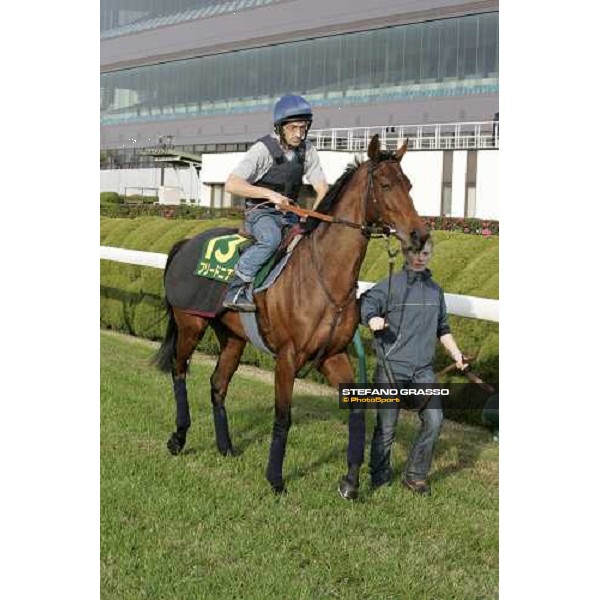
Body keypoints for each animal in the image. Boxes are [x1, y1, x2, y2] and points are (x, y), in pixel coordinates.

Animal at [154, 134, 426, 500]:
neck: (324, 276)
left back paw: (226, 446)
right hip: (190, 325)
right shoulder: (287, 358)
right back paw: (179, 437)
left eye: (408, 185)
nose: (420, 235)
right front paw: (275, 478)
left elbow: (356, 408)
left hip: (233, 338)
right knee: (179, 370)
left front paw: (350, 481)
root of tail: (184, 242)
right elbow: (283, 417)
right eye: (385, 185)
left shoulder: (333, 355)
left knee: (218, 384)